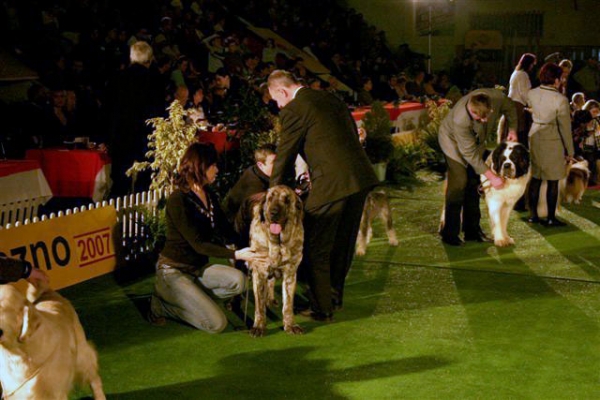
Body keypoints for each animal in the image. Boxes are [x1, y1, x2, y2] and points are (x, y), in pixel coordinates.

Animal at [248, 186, 304, 336]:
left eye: (287, 200)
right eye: (270, 198)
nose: (273, 212)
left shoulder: (290, 274)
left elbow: (288, 305)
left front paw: (290, 325)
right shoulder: (259, 272)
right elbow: (259, 305)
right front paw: (259, 326)